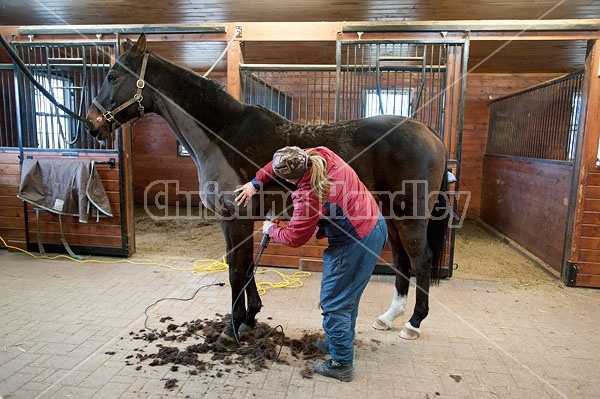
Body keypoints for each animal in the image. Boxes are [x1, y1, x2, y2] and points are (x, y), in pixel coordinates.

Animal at [85, 33, 450, 340]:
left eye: (113, 76)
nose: (92, 124)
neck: (222, 135)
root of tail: (430, 133)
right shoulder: (241, 220)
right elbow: (246, 266)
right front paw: (250, 317)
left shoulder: (235, 218)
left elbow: (236, 269)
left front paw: (233, 327)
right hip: (392, 216)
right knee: (402, 261)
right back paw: (389, 318)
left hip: (411, 217)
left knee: (420, 261)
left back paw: (413, 323)